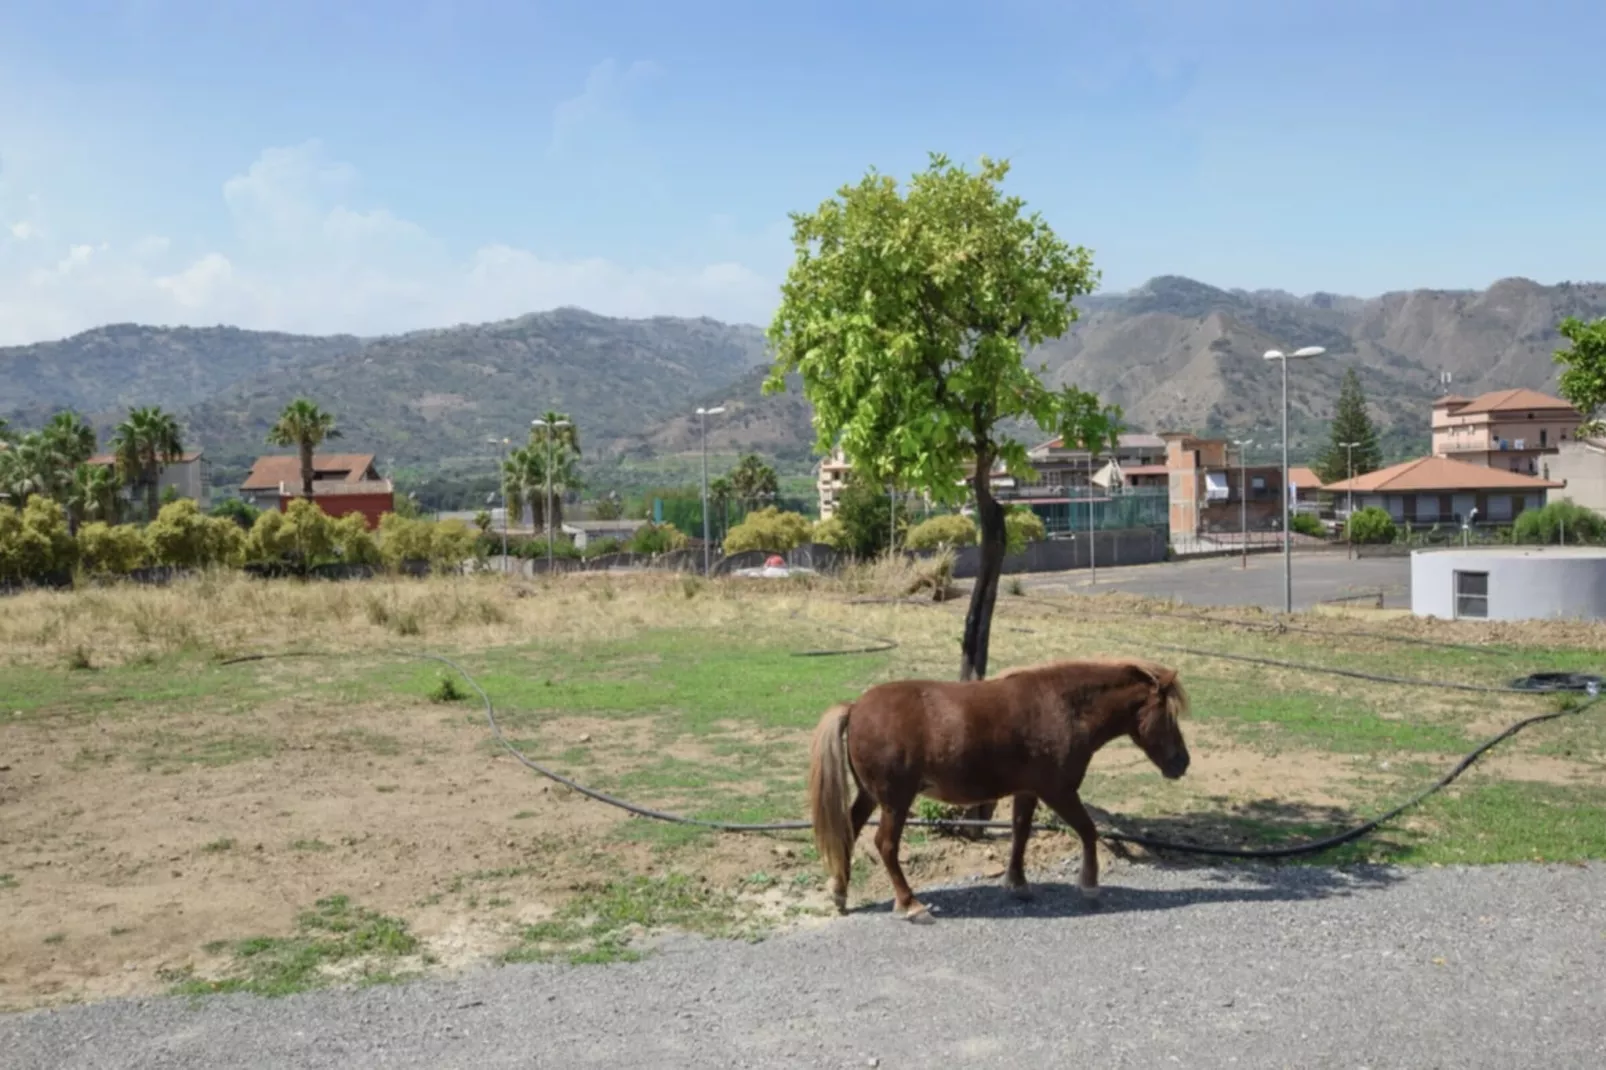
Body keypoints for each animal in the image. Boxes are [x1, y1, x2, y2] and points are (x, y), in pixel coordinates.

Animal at [803, 649, 1194, 918]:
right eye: (1168, 714)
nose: (1182, 762)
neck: (1064, 707)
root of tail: (855, 708)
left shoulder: (1027, 791)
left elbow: (1021, 832)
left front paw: (1017, 883)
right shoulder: (1059, 791)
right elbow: (1088, 831)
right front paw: (1090, 886)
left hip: (871, 796)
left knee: (849, 831)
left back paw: (840, 893)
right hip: (895, 801)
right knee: (884, 844)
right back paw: (910, 904)